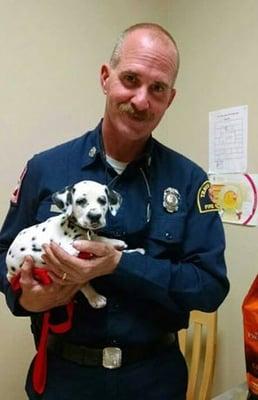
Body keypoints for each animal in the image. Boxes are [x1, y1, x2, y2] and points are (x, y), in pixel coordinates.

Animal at [5, 181, 137, 310]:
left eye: (102, 200)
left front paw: (115, 242)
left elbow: (96, 238)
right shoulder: (69, 248)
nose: (95, 216)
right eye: (80, 201)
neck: (74, 225)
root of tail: (9, 273)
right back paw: (95, 298)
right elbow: (90, 242)